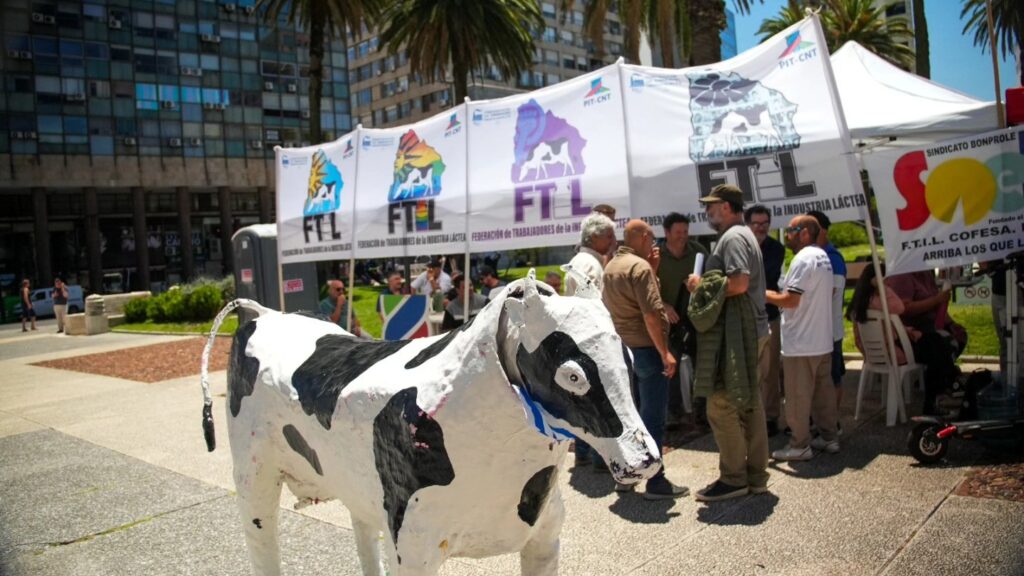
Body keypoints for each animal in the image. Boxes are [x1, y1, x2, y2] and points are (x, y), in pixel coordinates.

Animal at [199, 271, 661, 576]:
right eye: (572, 375)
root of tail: (263, 314)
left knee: (362, 533)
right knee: (262, 543)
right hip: (254, 475)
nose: (645, 460)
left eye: (629, 357)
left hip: (358, 486)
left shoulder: (545, 536)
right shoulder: (414, 547)